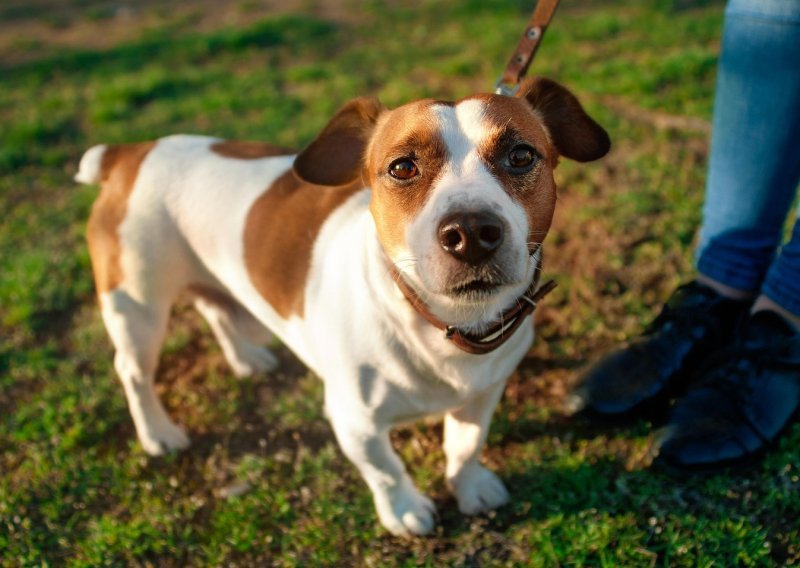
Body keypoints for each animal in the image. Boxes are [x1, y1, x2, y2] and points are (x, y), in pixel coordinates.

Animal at [76, 76, 612, 536]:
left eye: (521, 155)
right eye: (402, 167)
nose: (471, 233)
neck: (438, 324)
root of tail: (132, 154)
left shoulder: (484, 393)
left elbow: (465, 445)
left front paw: (471, 485)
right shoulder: (354, 420)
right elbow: (385, 468)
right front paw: (405, 510)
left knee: (215, 309)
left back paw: (245, 359)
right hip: (137, 306)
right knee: (133, 371)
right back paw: (158, 433)